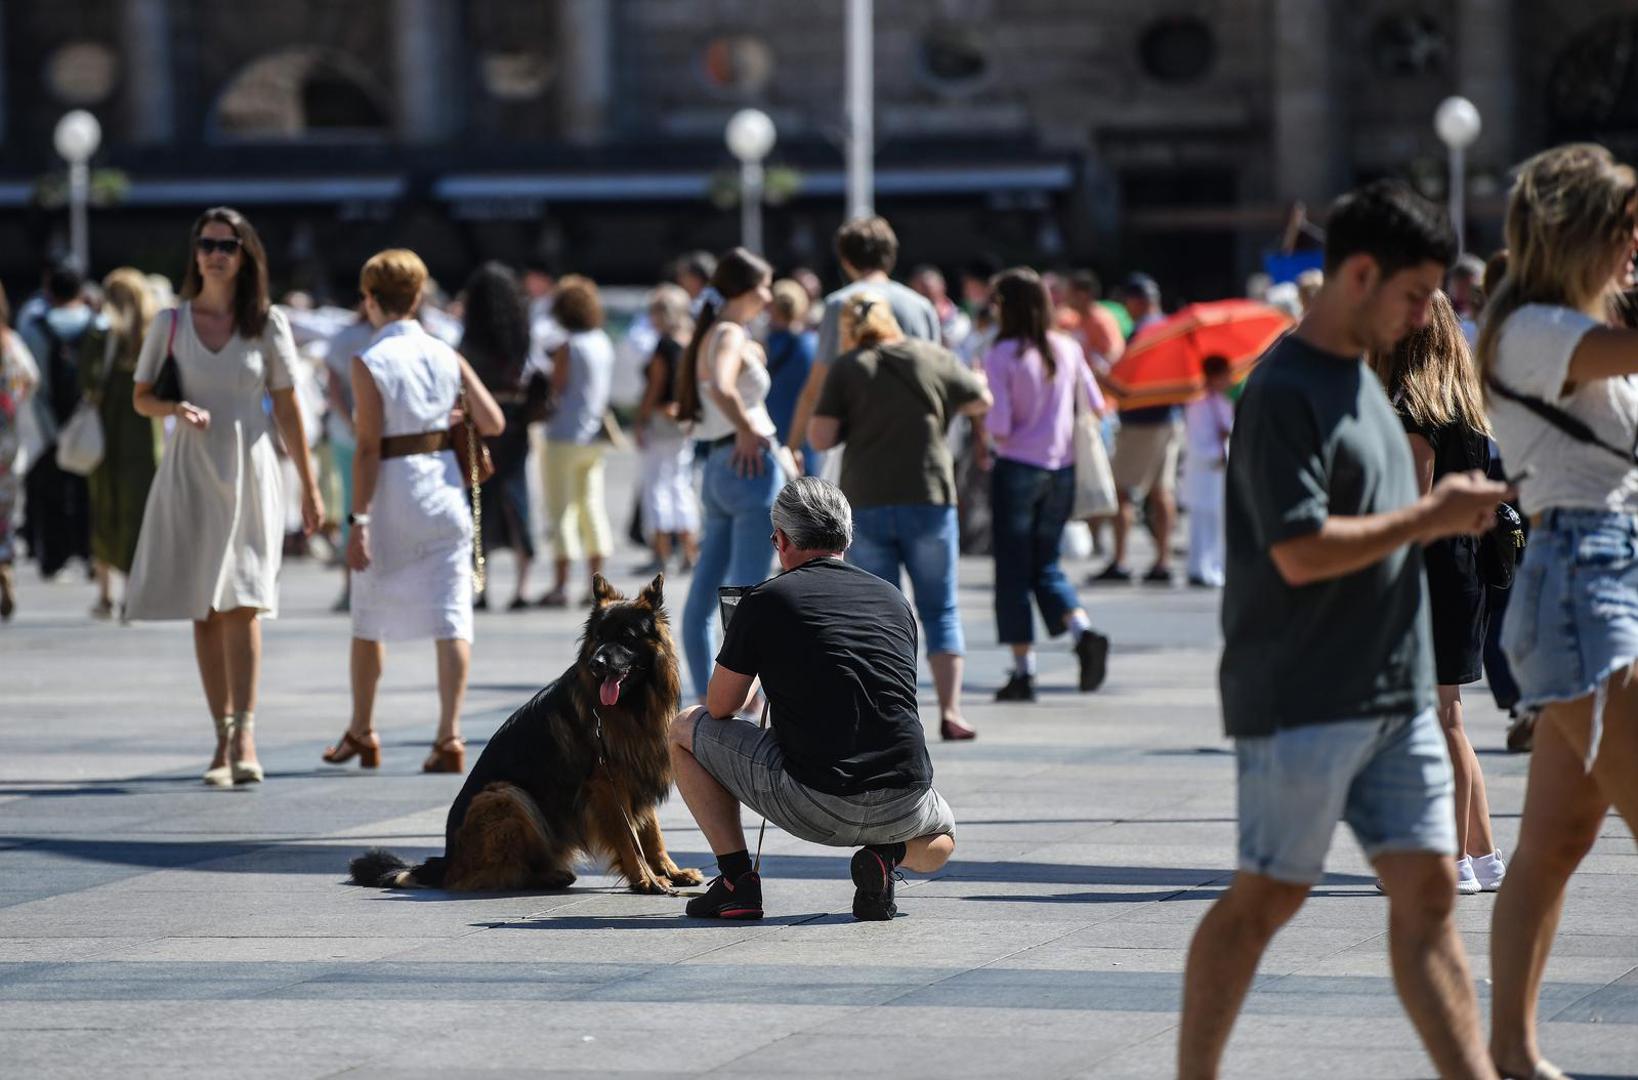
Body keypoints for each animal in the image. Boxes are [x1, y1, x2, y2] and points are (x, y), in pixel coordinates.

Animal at [348, 573, 701, 898]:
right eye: (599, 636)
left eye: (626, 637)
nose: (596, 663)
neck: (634, 703)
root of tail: (446, 861)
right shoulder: (607, 786)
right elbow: (629, 838)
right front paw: (647, 879)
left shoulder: (637, 772)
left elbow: (652, 833)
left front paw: (670, 871)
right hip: (505, 795)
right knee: (488, 874)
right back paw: (545, 876)